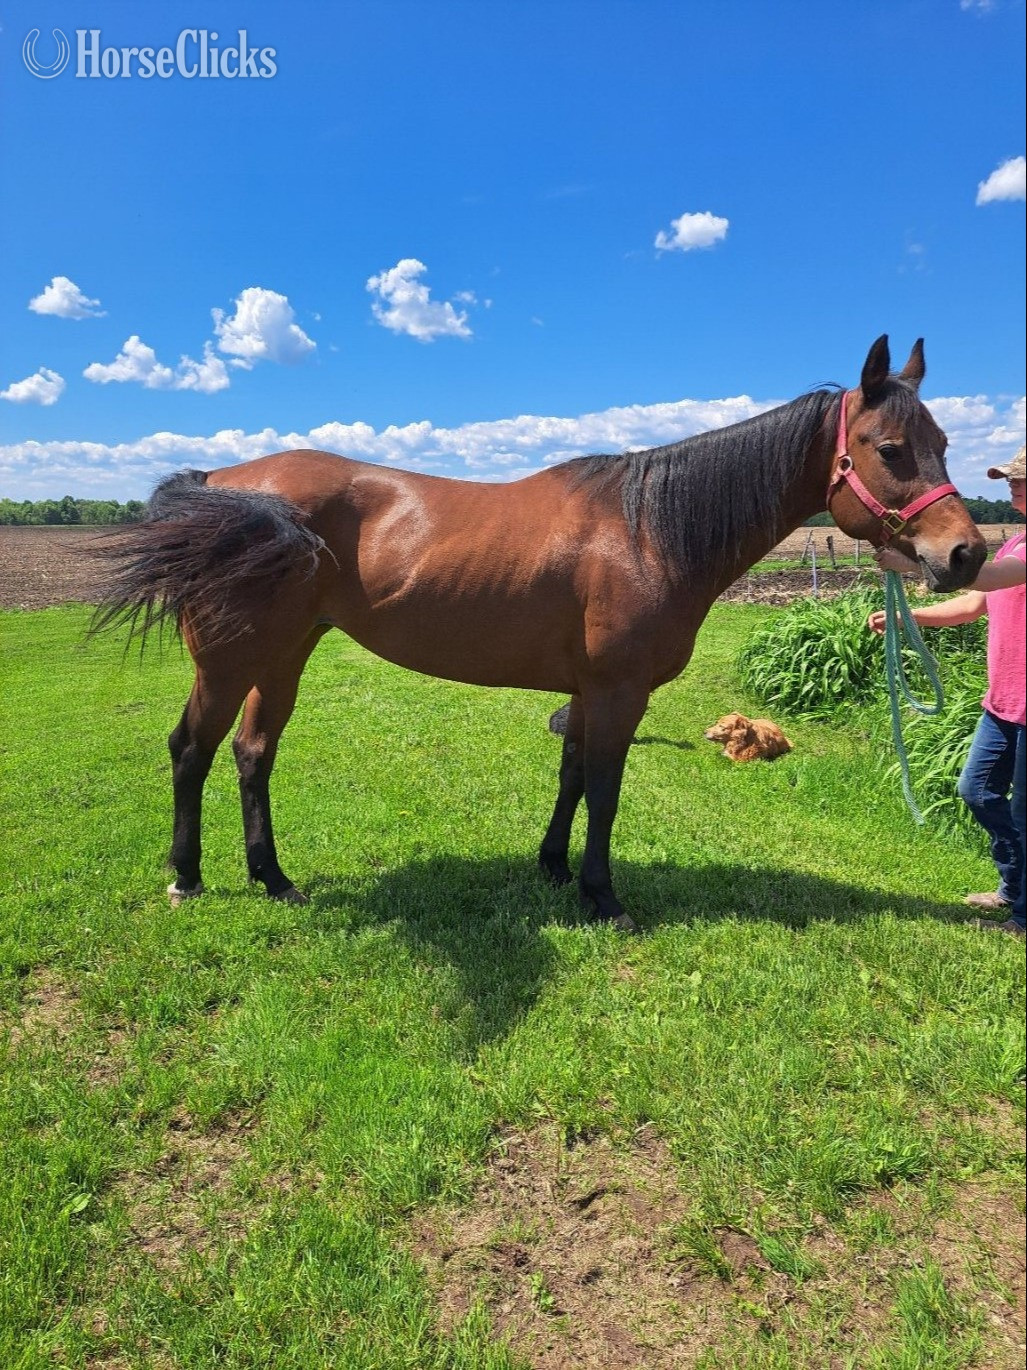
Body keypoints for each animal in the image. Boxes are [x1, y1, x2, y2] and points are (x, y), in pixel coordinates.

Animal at [94, 336, 986, 932]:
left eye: (943, 444)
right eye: (889, 448)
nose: (966, 554)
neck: (649, 528)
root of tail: (221, 482)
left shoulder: (587, 692)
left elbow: (570, 780)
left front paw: (554, 870)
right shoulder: (619, 693)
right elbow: (605, 792)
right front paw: (603, 896)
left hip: (284, 654)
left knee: (253, 754)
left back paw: (273, 879)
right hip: (228, 659)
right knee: (191, 749)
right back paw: (187, 878)